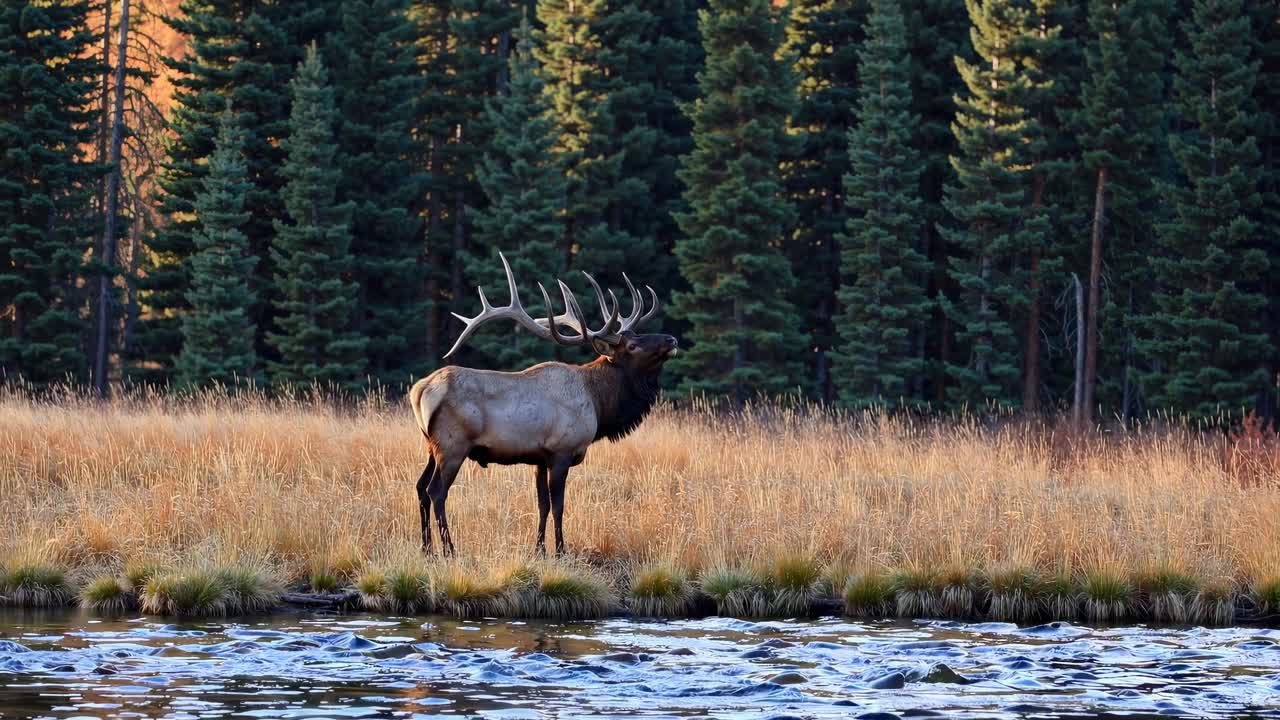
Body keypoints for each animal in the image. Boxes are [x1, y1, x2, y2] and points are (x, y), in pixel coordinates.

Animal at [408, 253, 678, 556]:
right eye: (631, 346)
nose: (671, 338)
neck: (598, 402)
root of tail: (420, 390)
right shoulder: (561, 450)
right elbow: (559, 505)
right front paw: (561, 550)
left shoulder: (539, 457)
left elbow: (542, 504)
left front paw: (539, 549)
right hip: (453, 444)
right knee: (436, 491)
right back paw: (449, 550)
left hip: (431, 445)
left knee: (420, 487)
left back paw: (426, 549)